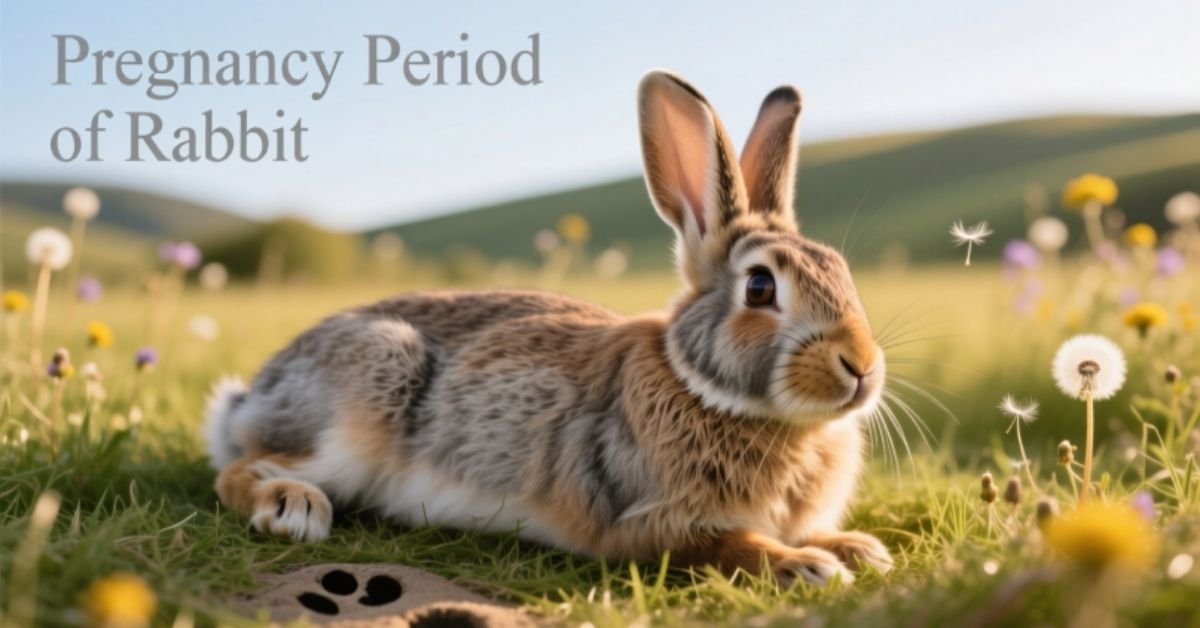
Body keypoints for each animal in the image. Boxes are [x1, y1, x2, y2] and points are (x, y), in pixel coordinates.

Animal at [205, 69, 893, 585]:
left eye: (841, 270)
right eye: (760, 287)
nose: (861, 366)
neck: (706, 389)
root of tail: (252, 396)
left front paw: (861, 549)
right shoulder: (645, 521)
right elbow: (729, 545)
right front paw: (809, 566)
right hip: (364, 400)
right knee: (239, 471)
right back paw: (292, 506)